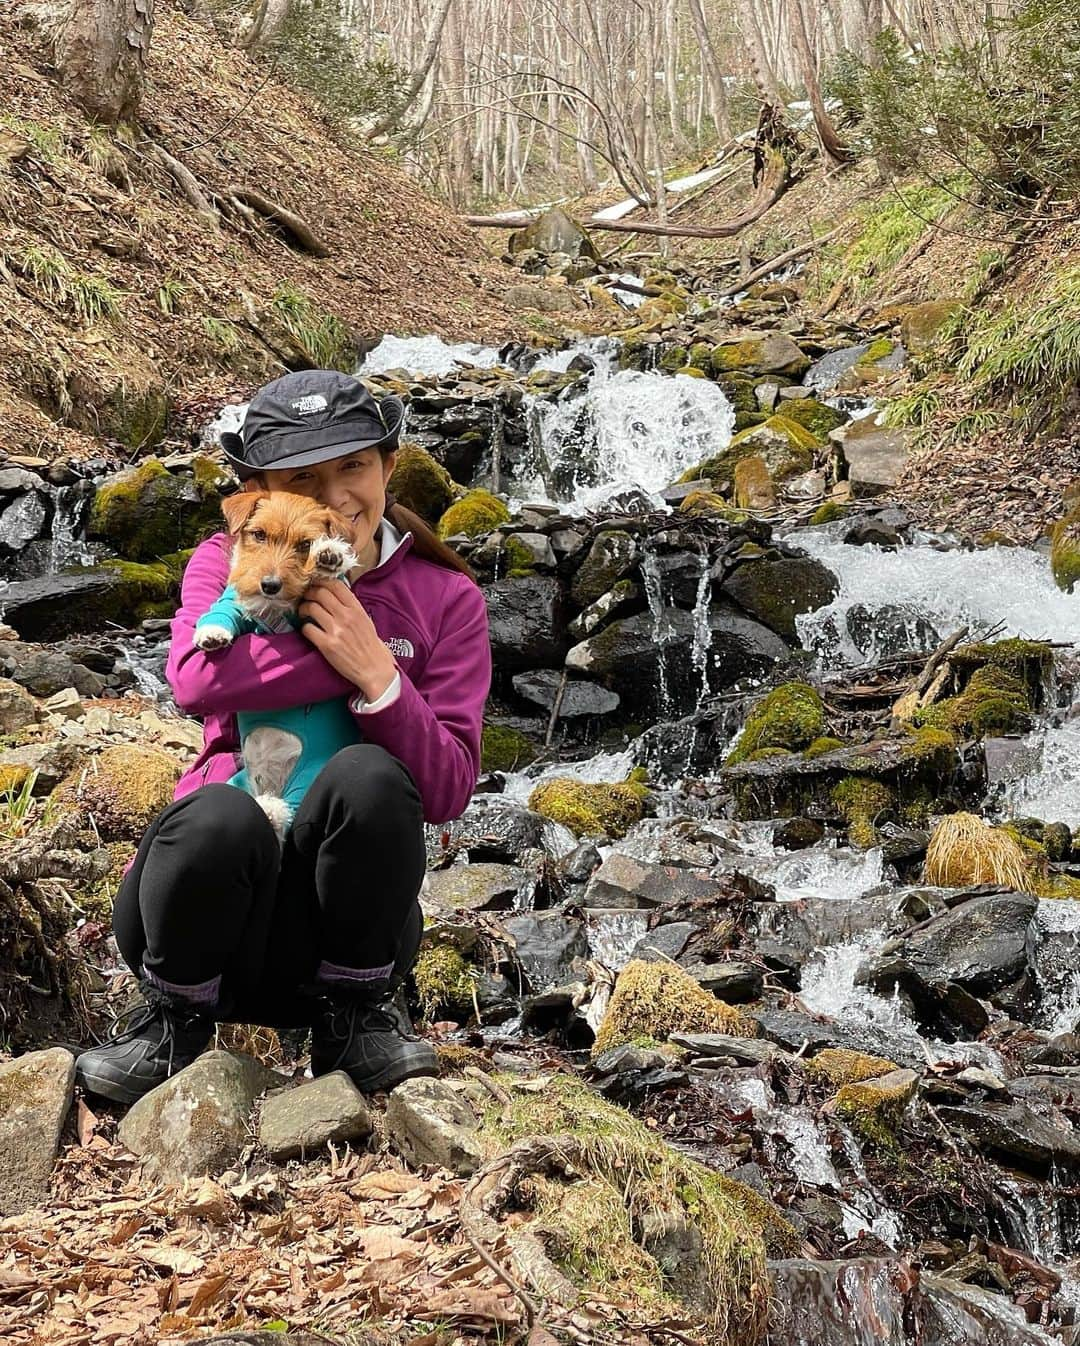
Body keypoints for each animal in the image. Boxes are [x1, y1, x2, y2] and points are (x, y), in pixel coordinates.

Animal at [192, 489, 358, 834]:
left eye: (306, 544)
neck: (271, 613)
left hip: (309, 777)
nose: (269, 585)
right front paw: (212, 632)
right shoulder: (238, 604)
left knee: (285, 816)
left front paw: (331, 556)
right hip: (240, 780)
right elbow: (225, 610)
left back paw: (270, 809)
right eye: (259, 535)